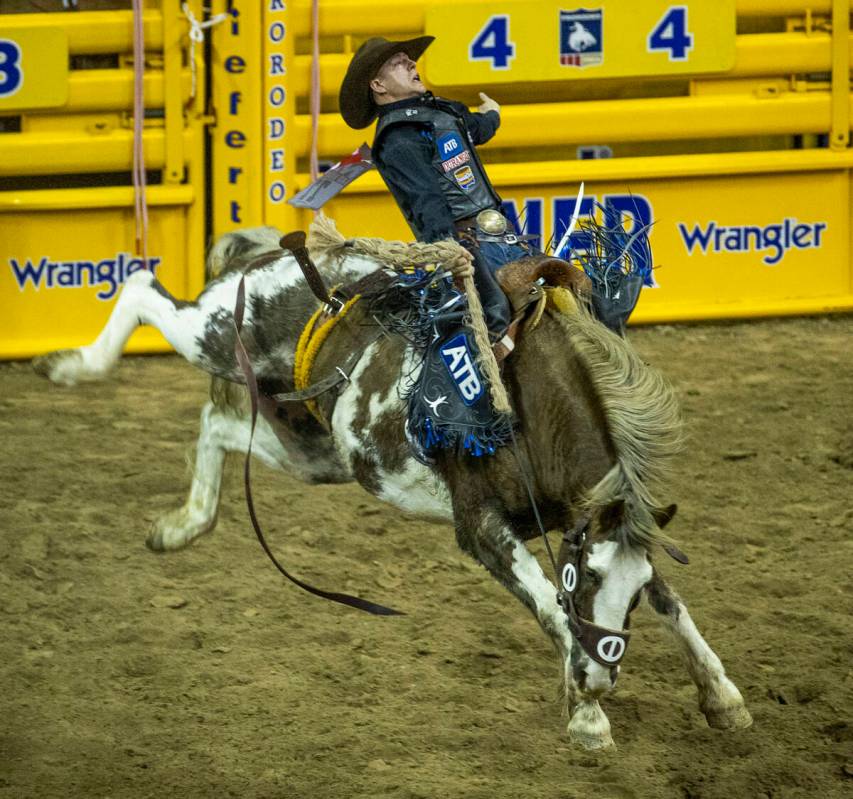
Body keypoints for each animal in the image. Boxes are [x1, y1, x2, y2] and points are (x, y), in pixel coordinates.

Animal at [33, 217, 752, 752]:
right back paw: (71, 365)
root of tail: (274, 251)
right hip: (211, 333)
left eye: (625, 590)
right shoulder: (481, 529)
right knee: (141, 288)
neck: (525, 413)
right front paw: (587, 714)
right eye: (588, 576)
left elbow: (672, 603)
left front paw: (722, 697)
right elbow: (551, 608)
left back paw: (181, 526)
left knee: (217, 426)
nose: (601, 675)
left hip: (314, 448)